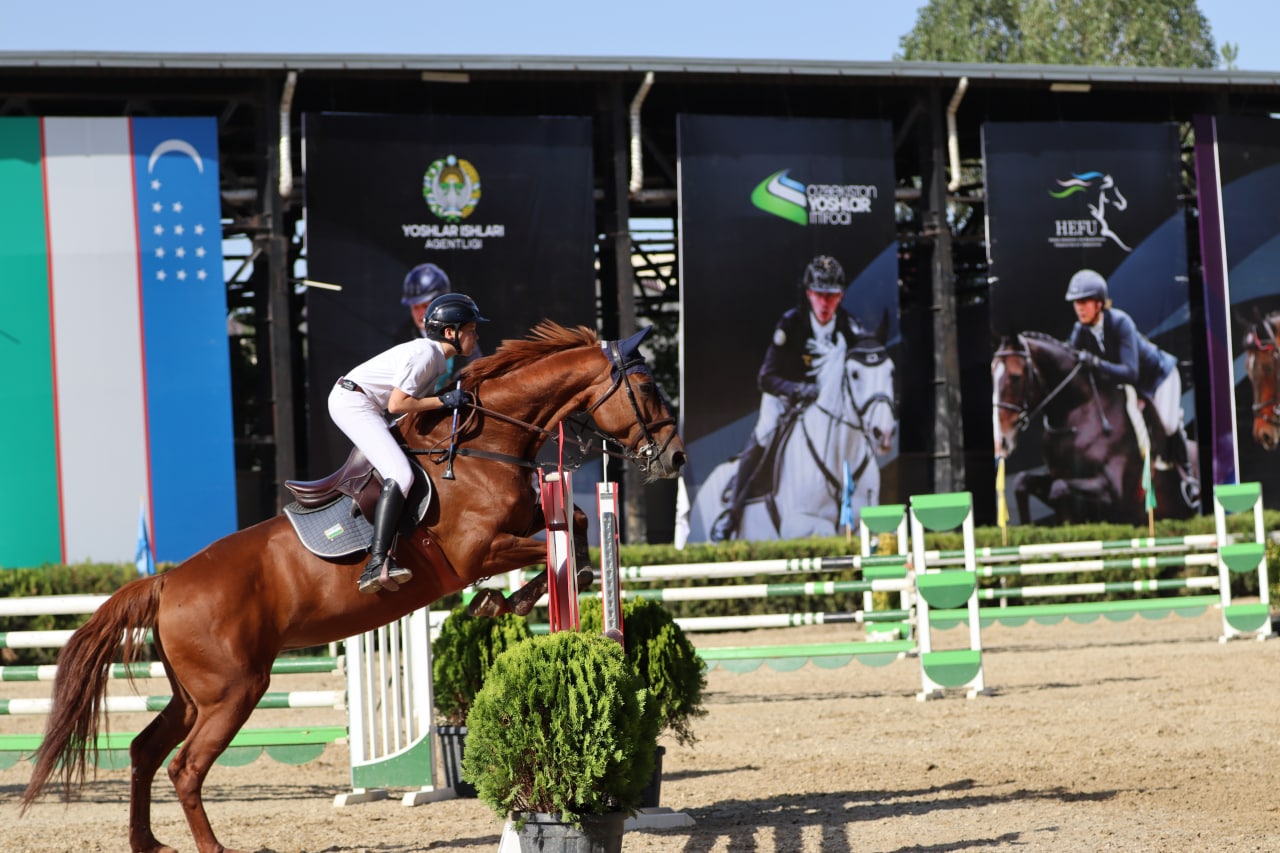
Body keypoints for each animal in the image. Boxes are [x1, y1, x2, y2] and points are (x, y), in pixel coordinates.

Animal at [21, 321, 686, 853]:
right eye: (649, 388)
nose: (675, 458)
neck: (481, 446)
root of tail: (167, 580)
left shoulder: (519, 529)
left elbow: (575, 526)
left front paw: (507, 600)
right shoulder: (477, 549)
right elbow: (556, 543)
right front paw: (505, 598)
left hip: (194, 695)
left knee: (144, 751)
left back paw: (147, 842)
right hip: (234, 691)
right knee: (184, 768)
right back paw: (210, 847)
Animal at [992, 331, 1194, 525]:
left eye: (1015, 377)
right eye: (992, 375)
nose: (1002, 440)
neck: (1076, 414)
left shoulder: (1113, 493)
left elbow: (1060, 489)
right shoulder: (1057, 475)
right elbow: (1022, 482)